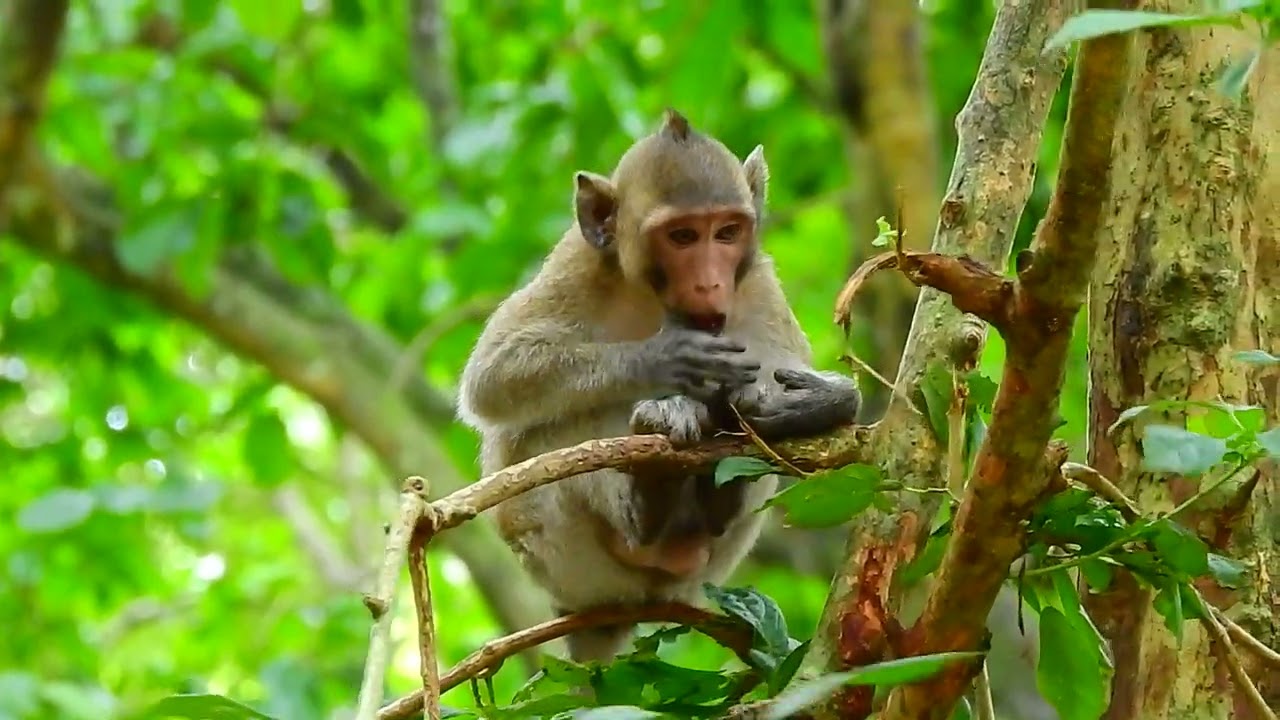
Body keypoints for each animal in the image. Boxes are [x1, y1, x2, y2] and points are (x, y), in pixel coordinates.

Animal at [457, 109, 861, 663]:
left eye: (727, 231)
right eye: (682, 236)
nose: (711, 283)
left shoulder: (757, 280)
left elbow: (786, 373)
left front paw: (819, 402)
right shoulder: (575, 265)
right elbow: (493, 376)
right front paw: (668, 357)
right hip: (567, 561)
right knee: (549, 428)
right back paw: (650, 494)